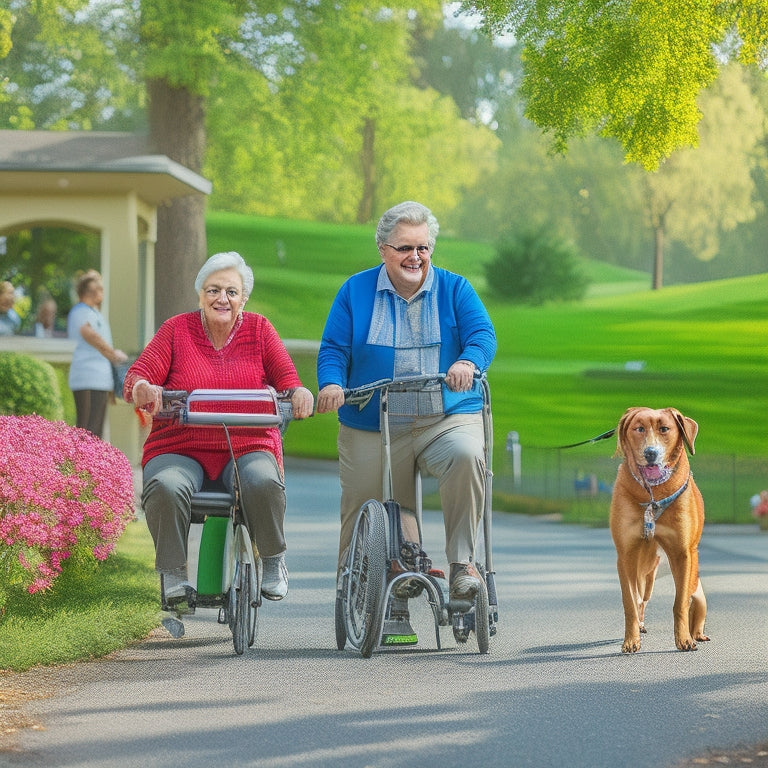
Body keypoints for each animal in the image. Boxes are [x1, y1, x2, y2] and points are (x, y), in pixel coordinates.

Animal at [608, 408, 712, 656]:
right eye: (639, 428)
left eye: (665, 429)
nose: (650, 453)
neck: (653, 494)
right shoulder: (625, 554)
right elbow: (630, 602)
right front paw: (630, 641)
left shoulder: (683, 553)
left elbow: (681, 603)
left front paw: (684, 639)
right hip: (644, 572)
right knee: (640, 599)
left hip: (692, 583)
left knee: (695, 601)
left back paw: (697, 634)